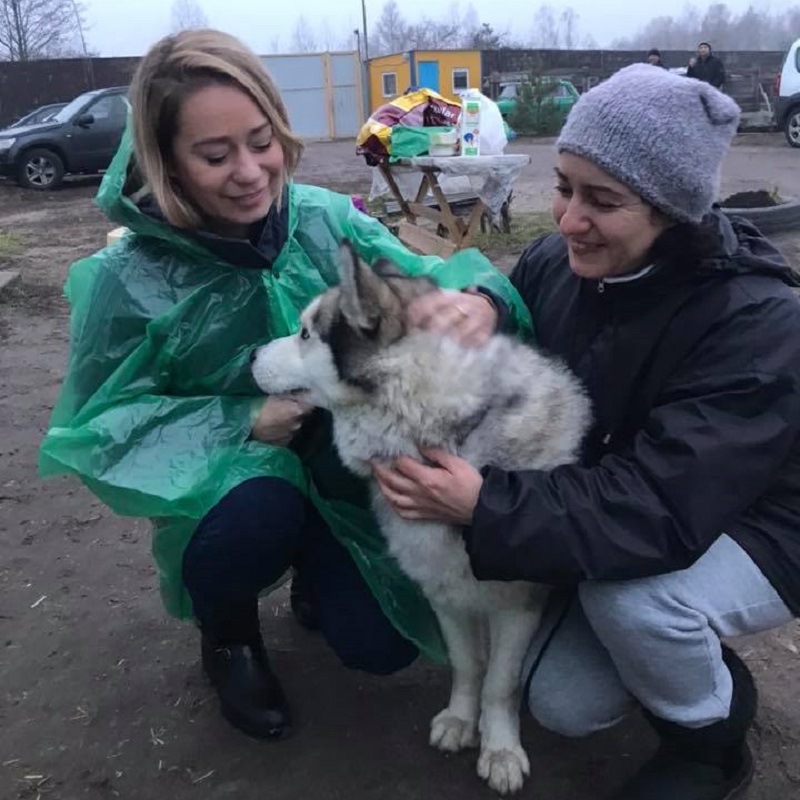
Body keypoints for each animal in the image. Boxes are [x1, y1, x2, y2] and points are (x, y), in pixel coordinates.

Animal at [253, 242, 592, 792]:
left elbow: (501, 682)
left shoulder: (518, 605)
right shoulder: (444, 590)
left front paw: (500, 747)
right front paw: (461, 719)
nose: (250, 356)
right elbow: (469, 665)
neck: (444, 437)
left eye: (305, 333)